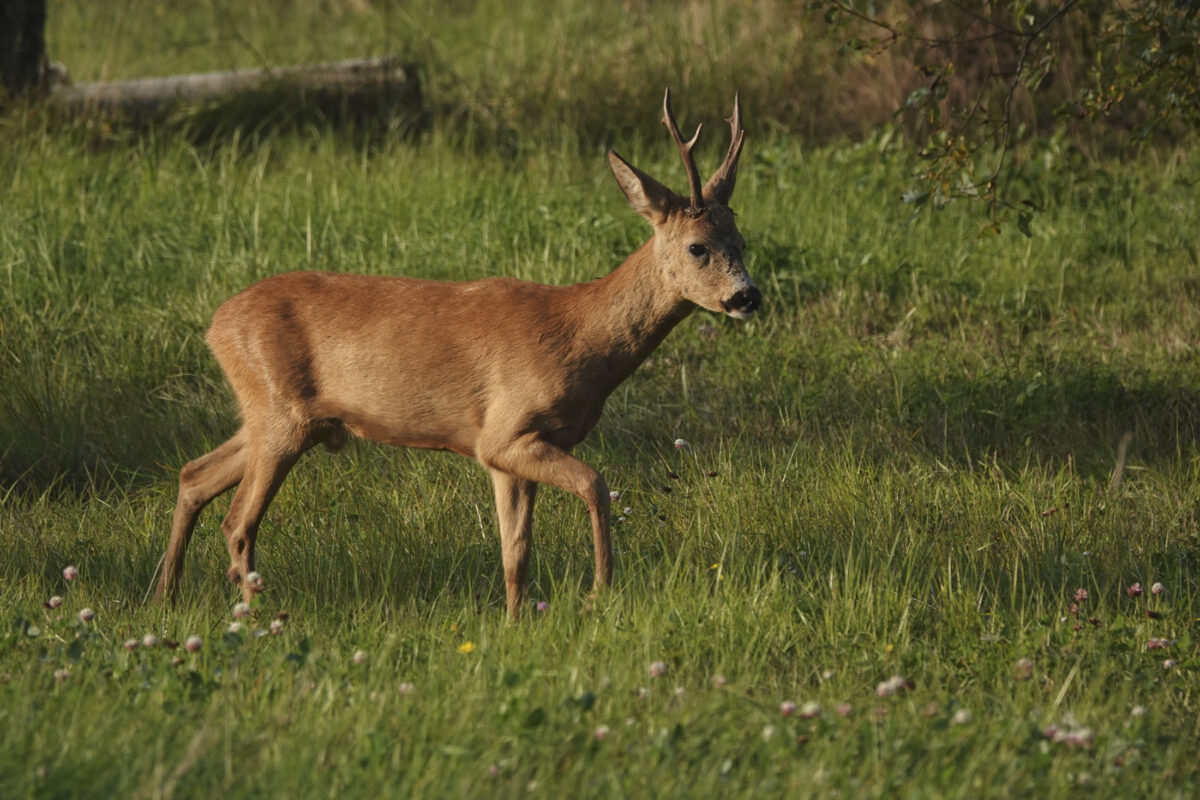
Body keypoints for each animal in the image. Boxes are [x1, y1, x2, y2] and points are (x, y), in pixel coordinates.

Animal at [157, 92, 758, 618]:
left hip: (274, 417)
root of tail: (216, 325)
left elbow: (515, 552)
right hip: (279, 413)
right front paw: (599, 593)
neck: (579, 336)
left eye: (743, 242)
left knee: (194, 474)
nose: (747, 296)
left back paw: (165, 594)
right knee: (238, 521)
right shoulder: (505, 432)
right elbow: (596, 485)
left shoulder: (509, 453)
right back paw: (255, 615)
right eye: (697, 247)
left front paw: (517, 622)